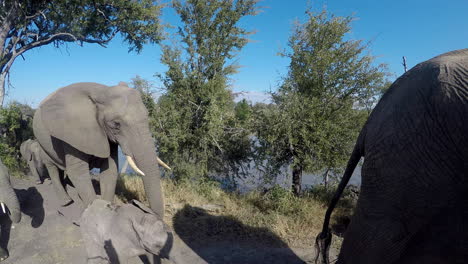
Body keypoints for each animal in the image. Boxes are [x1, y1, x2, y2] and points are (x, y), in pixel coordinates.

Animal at [33, 82, 168, 217]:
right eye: (116, 124)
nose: (147, 211)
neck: (102, 91)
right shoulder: (71, 133)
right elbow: (78, 173)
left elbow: (110, 169)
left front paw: (106, 212)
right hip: (41, 143)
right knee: (52, 168)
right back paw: (66, 202)